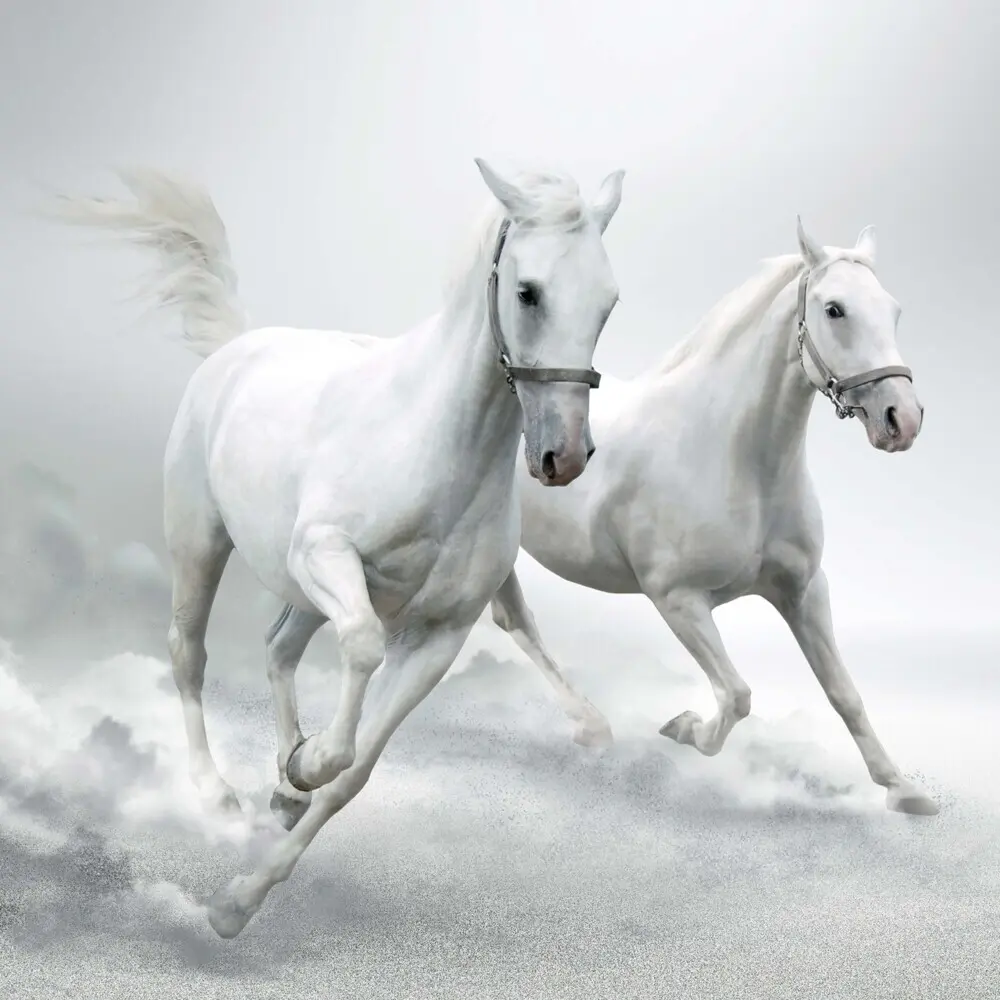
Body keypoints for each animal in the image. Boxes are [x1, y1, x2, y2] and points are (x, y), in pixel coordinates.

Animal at [57, 161, 625, 937]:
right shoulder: (326, 556)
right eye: (528, 291)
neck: (432, 445)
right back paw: (216, 793)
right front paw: (308, 763)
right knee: (188, 652)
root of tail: (238, 347)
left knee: (276, 647)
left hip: (297, 592)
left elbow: (354, 775)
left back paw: (281, 785)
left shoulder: (438, 635)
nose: (563, 456)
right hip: (201, 541)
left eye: (608, 303)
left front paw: (244, 893)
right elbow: (359, 648)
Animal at [485, 218, 938, 817]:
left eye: (894, 309)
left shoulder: (804, 592)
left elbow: (844, 693)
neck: (732, 458)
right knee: (516, 621)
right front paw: (684, 727)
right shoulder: (677, 599)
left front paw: (903, 789)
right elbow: (737, 695)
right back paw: (592, 724)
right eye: (835, 309)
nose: (902, 420)